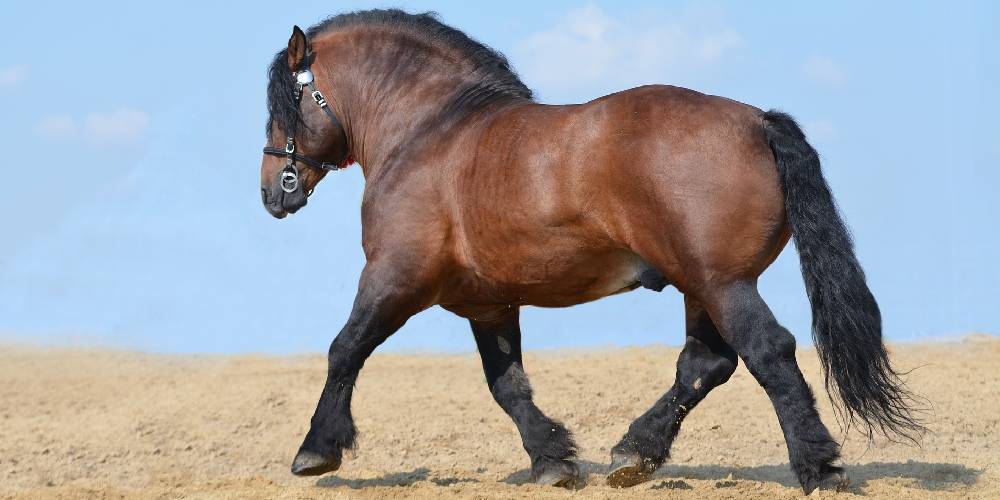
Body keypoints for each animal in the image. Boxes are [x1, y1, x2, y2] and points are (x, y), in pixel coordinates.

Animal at [259, 9, 922, 493]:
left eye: (281, 104)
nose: (272, 192)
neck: (432, 132)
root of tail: (758, 121)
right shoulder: (488, 304)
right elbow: (508, 385)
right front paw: (553, 459)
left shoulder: (395, 278)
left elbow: (345, 349)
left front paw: (316, 450)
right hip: (702, 286)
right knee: (705, 364)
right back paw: (634, 453)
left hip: (722, 282)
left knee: (768, 352)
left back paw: (819, 467)